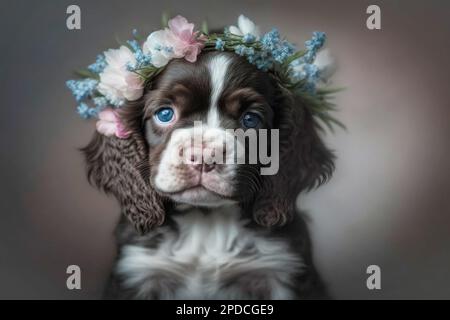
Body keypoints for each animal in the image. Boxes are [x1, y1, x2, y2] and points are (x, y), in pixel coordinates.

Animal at [82, 51, 334, 298]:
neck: (205, 219)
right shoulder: (137, 270)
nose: (203, 157)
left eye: (251, 119)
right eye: (165, 114)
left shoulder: (281, 270)